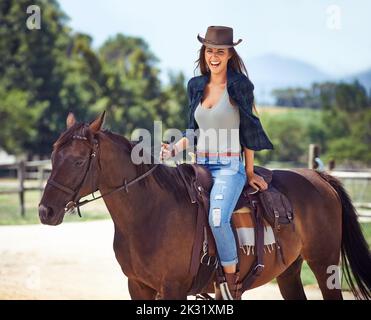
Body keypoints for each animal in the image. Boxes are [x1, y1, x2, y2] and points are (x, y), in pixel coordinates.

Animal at [39, 112, 370, 300]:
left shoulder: (172, 288)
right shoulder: (137, 286)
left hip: (324, 265)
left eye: (78, 161)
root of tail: (318, 177)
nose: (45, 212)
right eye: (53, 156)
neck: (150, 214)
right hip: (289, 271)